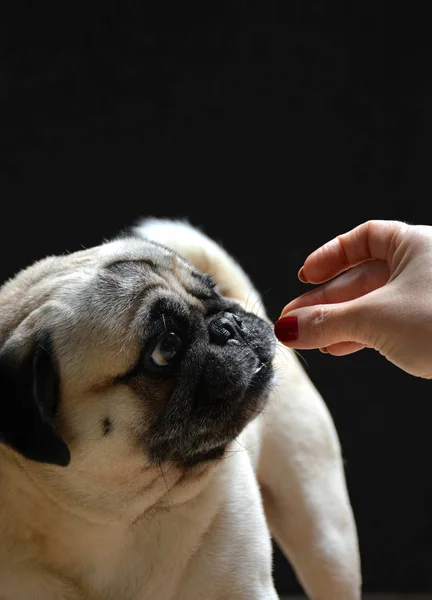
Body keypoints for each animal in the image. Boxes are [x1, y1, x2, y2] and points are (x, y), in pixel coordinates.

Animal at [0, 218, 362, 596]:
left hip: (326, 537)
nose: (228, 325)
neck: (122, 520)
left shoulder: (247, 587)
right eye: (166, 348)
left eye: (211, 288)